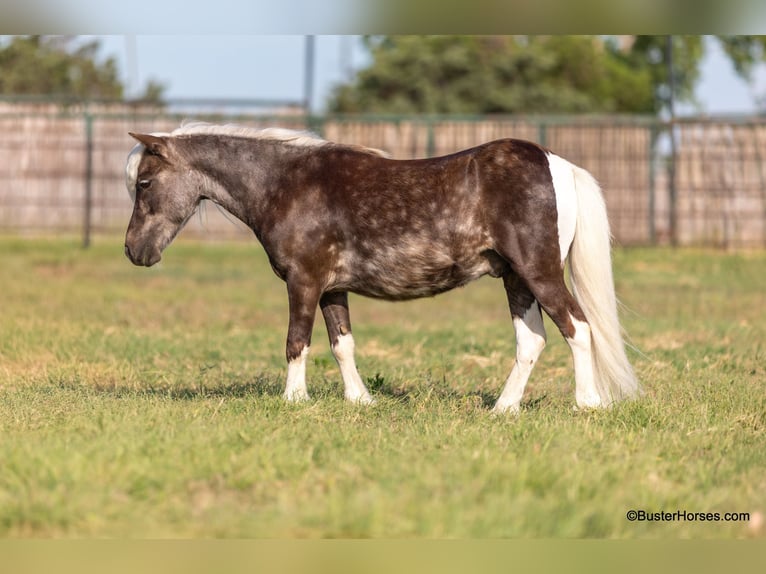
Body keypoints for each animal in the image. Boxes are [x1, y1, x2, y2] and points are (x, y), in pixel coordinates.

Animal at [124, 125, 640, 414]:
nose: (134, 251)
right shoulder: (331, 289)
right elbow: (342, 344)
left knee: (578, 328)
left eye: (144, 182)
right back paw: (502, 409)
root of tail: (557, 163)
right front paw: (359, 401)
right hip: (516, 279)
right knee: (532, 341)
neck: (285, 183)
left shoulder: (303, 283)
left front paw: (294, 401)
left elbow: (296, 342)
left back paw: (586, 404)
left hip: (539, 272)